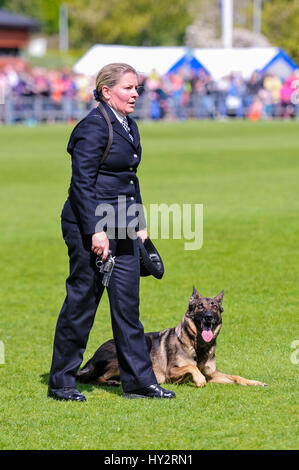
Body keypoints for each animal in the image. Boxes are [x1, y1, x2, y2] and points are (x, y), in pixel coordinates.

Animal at [77, 286, 268, 390]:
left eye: (214, 307)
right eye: (200, 306)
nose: (208, 317)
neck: (198, 345)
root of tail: (92, 357)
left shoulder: (212, 374)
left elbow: (236, 377)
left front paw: (255, 382)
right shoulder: (171, 371)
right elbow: (192, 367)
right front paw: (198, 379)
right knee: (94, 378)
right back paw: (112, 383)